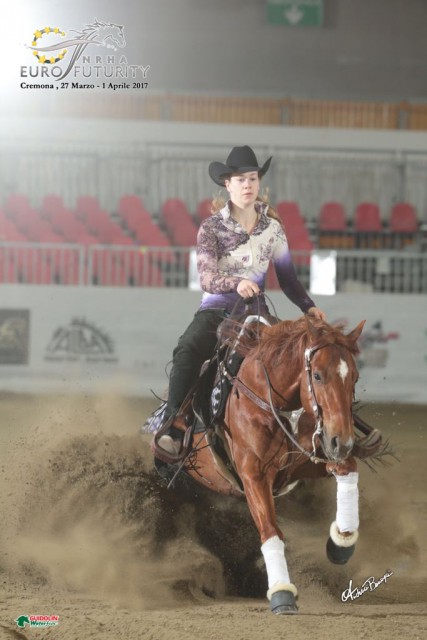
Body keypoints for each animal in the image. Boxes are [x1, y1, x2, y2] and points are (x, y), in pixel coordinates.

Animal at [150, 314, 381, 615]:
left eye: (354, 377)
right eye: (317, 375)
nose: (341, 441)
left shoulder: (302, 463)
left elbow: (348, 467)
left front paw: (341, 543)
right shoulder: (253, 475)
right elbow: (270, 529)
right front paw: (282, 593)